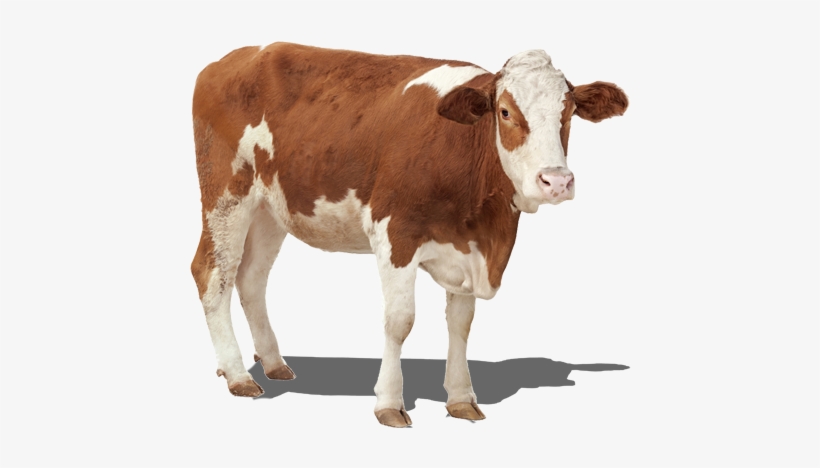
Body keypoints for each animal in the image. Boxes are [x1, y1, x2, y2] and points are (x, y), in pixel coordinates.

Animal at [191, 42, 627, 427]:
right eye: (504, 111)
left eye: (568, 112)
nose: (556, 181)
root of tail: (232, 58)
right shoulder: (394, 233)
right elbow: (400, 321)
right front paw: (389, 403)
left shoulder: (467, 247)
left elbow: (460, 323)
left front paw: (461, 399)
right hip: (227, 194)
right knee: (213, 275)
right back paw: (237, 375)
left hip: (271, 209)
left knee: (251, 278)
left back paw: (273, 362)